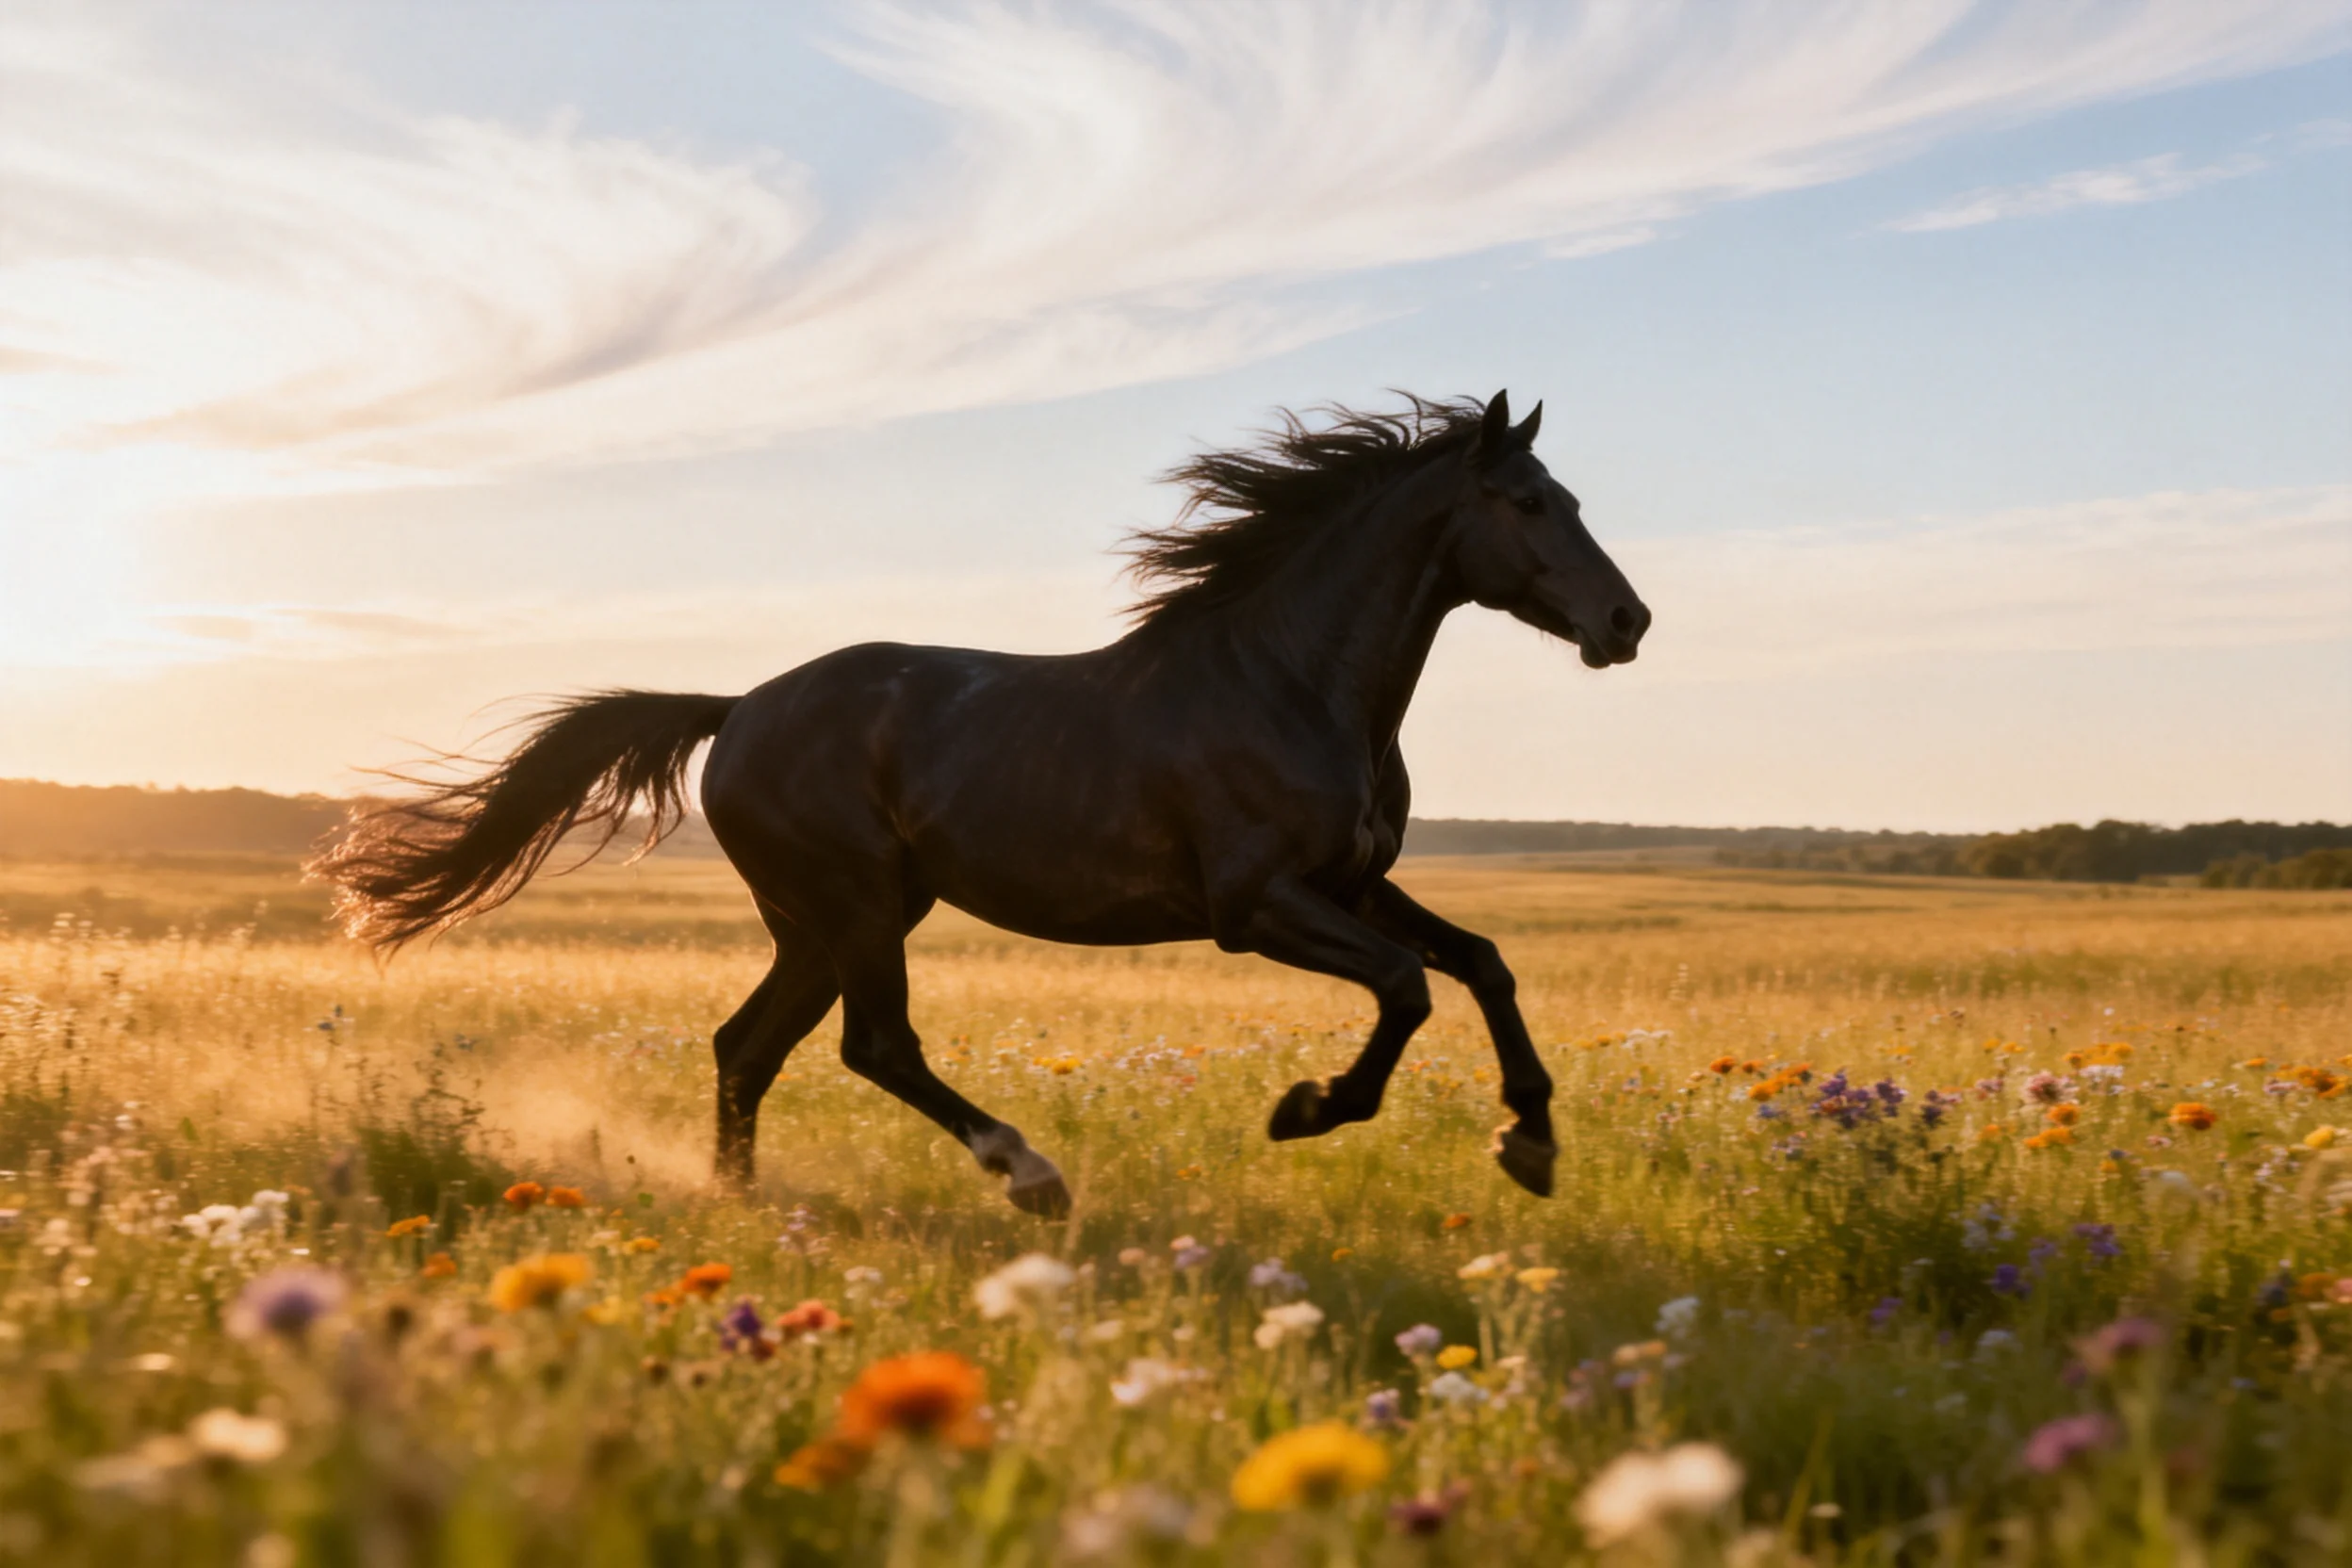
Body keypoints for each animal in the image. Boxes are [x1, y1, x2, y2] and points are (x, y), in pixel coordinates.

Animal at [309, 391, 1650, 1216]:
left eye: (1576, 497)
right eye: (1528, 503)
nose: (1627, 620)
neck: (1292, 682)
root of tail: (737, 707)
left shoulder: (1355, 881)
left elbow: (1480, 961)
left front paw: (1530, 1144)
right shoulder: (1257, 904)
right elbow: (1409, 986)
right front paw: (1310, 1109)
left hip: (828, 920)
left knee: (748, 1045)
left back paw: (742, 1200)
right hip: (855, 906)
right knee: (871, 1044)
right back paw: (1030, 1174)